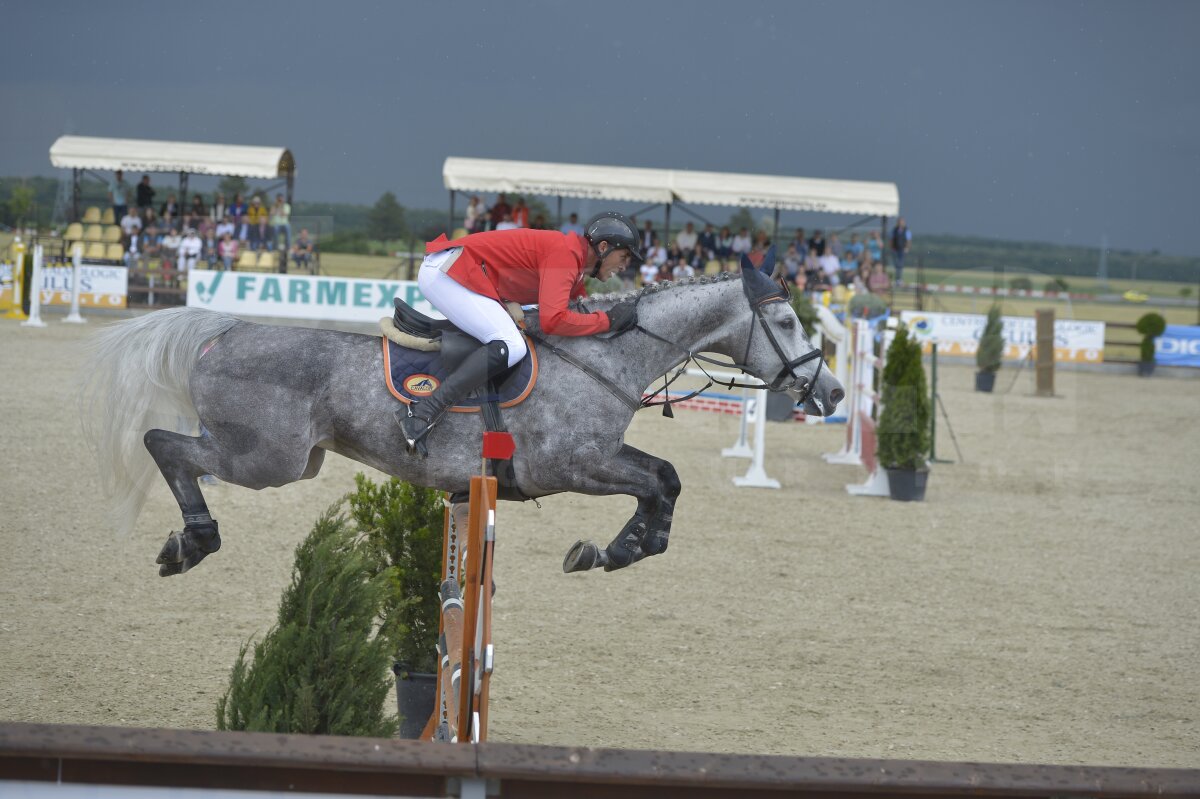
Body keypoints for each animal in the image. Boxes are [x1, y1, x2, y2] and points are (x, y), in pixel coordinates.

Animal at [82, 257, 844, 575]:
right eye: (784, 321)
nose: (832, 393)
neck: (607, 357)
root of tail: (225, 329)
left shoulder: (599, 458)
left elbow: (666, 477)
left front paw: (617, 550)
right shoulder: (571, 465)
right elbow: (657, 481)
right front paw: (623, 547)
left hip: (290, 459)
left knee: (175, 449)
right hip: (265, 459)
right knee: (165, 444)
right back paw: (193, 541)